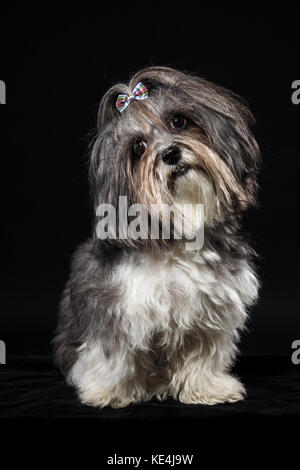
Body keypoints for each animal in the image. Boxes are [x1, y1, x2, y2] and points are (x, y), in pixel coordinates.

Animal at [52, 66, 258, 408]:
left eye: (178, 121)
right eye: (138, 147)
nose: (171, 153)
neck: (177, 236)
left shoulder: (209, 312)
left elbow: (204, 355)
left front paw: (208, 388)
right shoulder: (115, 308)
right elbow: (113, 355)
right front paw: (108, 391)